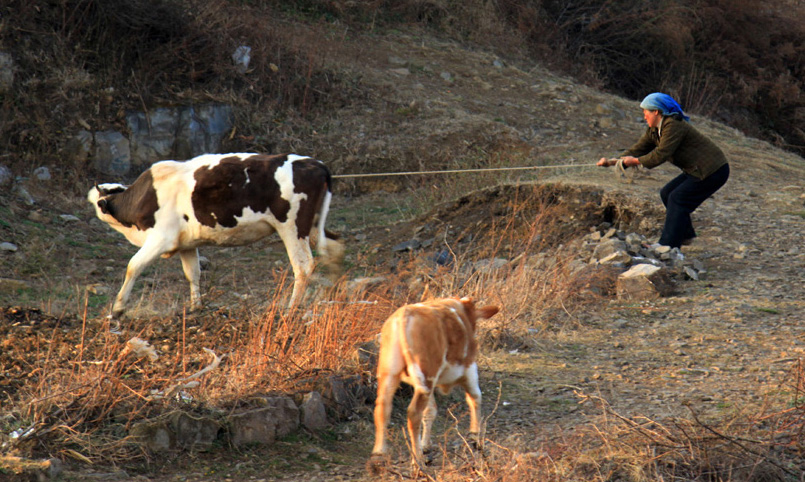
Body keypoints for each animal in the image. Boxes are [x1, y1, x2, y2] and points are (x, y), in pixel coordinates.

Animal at [87, 151, 342, 318]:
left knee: (303, 266)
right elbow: (193, 273)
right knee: (335, 250)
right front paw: (195, 307)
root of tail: (315, 164)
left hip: (292, 227)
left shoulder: (161, 239)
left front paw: (118, 308)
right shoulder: (186, 244)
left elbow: (133, 266)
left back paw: (290, 309)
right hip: (313, 227)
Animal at [370, 296, 496, 468]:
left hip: (389, 373)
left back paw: (379, 454)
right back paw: (417, 461)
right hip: (426, 374)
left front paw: (425, 445)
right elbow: (475, 398)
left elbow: (430, 410)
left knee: (382, 408)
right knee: (413, 413)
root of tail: (404, 314)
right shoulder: (469, 367)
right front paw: (475, 438)